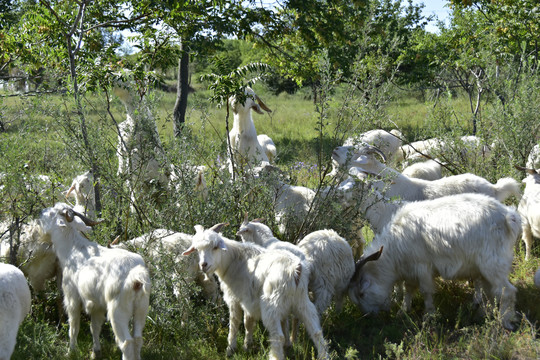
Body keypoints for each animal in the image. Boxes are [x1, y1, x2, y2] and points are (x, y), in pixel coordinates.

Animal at [39, 202, 151, 360]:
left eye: (51, 214)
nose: (40, 213)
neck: (72, 250)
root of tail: (136, 275)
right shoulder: (96, 305)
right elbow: (95, 327)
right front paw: (96, 352)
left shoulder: (72, 298)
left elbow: (74, 326)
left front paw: (71, 351)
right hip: (142, 307)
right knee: (138, 339)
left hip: (118, 310)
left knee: (126, 342)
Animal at [182, 224, 330, 358]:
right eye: (197, 250)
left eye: (215, 247)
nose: (203, 265)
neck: (232, 261)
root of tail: (295, 270)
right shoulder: (249, 299)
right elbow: (248, 323)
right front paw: (247, 345)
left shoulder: (234, 298)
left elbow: (234, 323)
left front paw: (230, 349)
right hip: (302, 301)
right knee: (316, 331)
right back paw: (323, 355)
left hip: (271, 304)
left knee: (278, 336)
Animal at [348, 193, 520, 330]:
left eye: (362, 294)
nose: (370, 316)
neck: (395, 246)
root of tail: (508, 216)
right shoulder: (411, 270)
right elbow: (408, 289)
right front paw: (403, 311)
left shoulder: (423, 266)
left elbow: (425, 291)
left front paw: (429, 316)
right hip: (485, 270)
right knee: (492, 291)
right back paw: (488, 314)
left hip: (493, 265)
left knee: (507, 291)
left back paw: (505, 322)